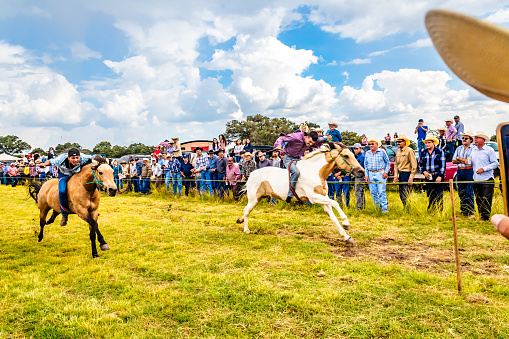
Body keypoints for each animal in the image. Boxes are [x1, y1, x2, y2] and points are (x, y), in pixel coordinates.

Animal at [236, 143, 364, 244]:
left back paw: (240, 220)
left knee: (246, 210)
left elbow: (333, 218)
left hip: (258, 198)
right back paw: (246, 230)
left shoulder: (323, 198)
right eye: (346, 155)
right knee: (246, 211)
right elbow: (335, 203)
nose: (361, 171)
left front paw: (347, 237)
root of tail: (252, 174)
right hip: (254, 199)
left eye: (353, 154)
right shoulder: (314, 198)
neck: (316, 172)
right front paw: (346, 223)